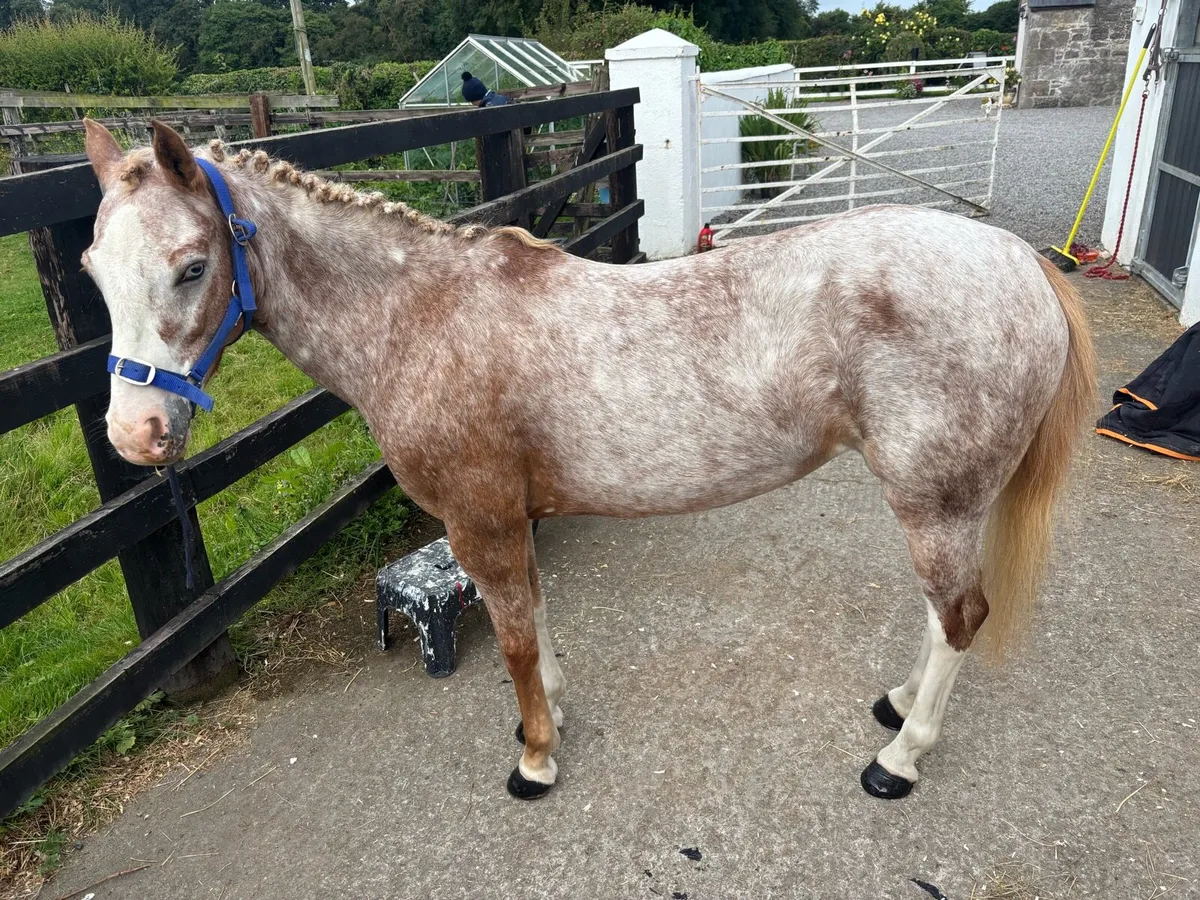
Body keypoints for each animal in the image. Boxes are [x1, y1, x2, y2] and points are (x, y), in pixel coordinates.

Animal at [81, 118, 1095, 801]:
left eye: (190, 266)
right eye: (94, 268)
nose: (135, 434)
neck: (422, 318)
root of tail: (1018, 261)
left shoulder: (479, 520)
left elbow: (515, 637)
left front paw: (534, 759)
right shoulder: (513, 519)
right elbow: (535, 622)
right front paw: (554, 718)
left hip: (936, 501)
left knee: (959, 616)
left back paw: (898, 758)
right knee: (940, 618)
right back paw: (895, 705)